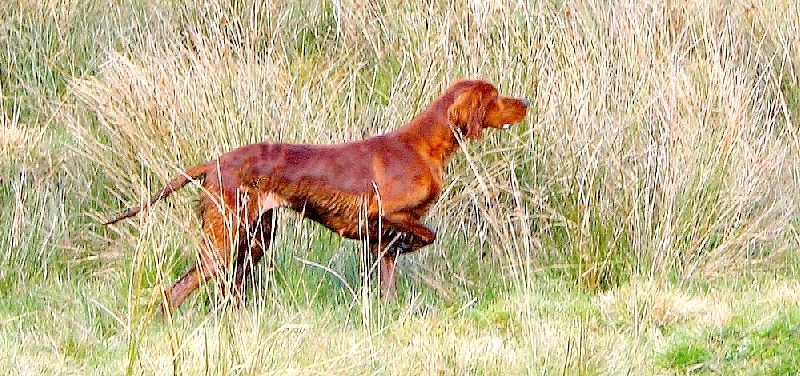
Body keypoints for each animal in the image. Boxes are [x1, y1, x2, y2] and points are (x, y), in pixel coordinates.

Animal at [108, 78, 532, 308]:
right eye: (495, 96)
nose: (526, 102)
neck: (424, 147)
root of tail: (213, 163)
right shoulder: (382, 215)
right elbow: (426, 233)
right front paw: (411, 246)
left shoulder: (382, 239)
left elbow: (391, 271)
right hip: (225, 239)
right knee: (177, 290)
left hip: (255, 239)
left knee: (226, 291)